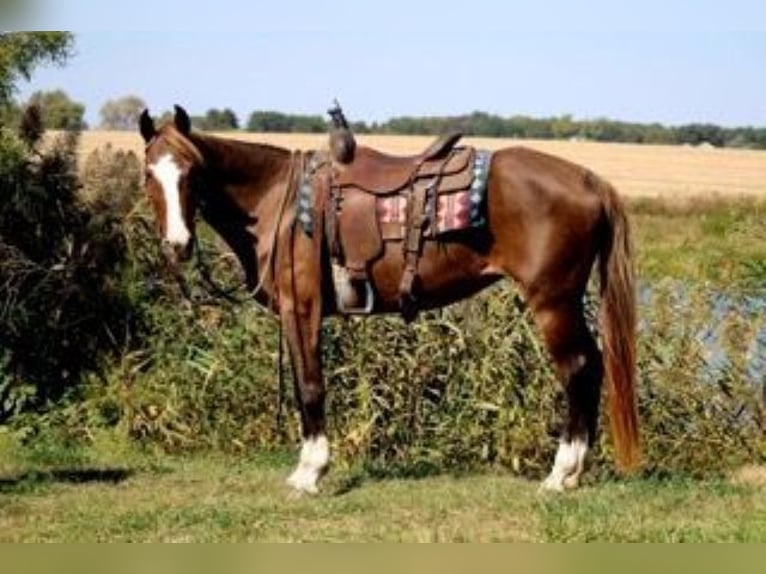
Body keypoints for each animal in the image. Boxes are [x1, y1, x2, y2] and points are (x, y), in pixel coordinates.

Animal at [139, 105, 638, 494]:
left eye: (192, 172)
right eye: (148, 174)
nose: (178, 245)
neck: (278, 201)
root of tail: (590, 181)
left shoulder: (303, 309)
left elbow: (310, 386)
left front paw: (310, 472)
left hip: (553, 302)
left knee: (577, 369)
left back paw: (560, 474)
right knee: (592, 366)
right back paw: (574, 473)